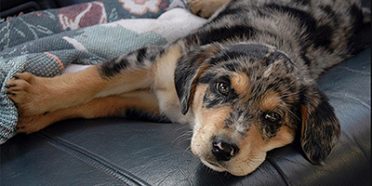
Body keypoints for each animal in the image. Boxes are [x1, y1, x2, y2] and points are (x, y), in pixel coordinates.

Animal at [5, 0, 366, 176]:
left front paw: (31, 114)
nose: (223, 149)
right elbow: (93, 79)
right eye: (223, 87)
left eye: (273, 119)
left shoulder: (156, 104)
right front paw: (33, 96)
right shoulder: (155, 59)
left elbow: (96, 103)